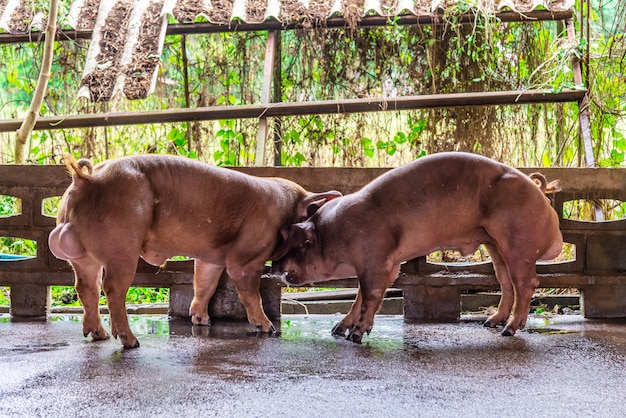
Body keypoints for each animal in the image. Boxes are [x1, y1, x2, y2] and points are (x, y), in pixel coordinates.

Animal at [48, 155, 342, 348]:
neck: (285, 209)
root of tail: (86, 178)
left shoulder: (210, 257)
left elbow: (205, 284)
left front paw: (202, 321)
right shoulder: (247, 257)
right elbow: (250, 292)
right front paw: (267, 328)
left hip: (83, 256)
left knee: (85, 287)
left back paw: (99, 335)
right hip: (121, 246)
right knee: (111, 289)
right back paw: (131, 342)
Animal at [272, 153, 560, 342]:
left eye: (299, 245)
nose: (273, 265)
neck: (332, 233)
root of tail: (540, 193)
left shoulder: (375, 259)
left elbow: (369, 297)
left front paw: (355, 335)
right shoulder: (386, 265)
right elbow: (359, 297)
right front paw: (336, 331)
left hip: (518, 242)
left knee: (527, 283)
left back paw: (508, 330)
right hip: (494, 243)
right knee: (505, 281)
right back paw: (490, 323)